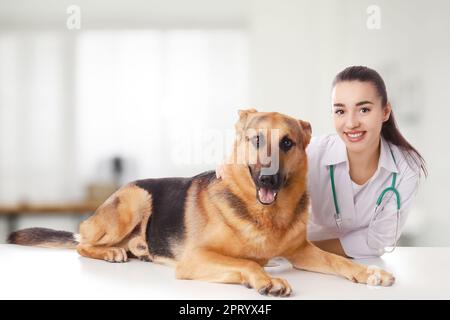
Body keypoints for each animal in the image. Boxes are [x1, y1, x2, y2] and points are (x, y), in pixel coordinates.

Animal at [7, 109, 394, 296]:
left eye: (287, 143)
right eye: (256, 140)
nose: (268, 180)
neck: (265, 215)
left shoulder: (302, 252)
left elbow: (338, 260)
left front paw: (370, 272)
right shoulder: (196, 259)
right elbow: (248, 263)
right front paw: (265, 280)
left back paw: (136, 249)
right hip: (135, 199)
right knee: (81, 242)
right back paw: (112, 251)